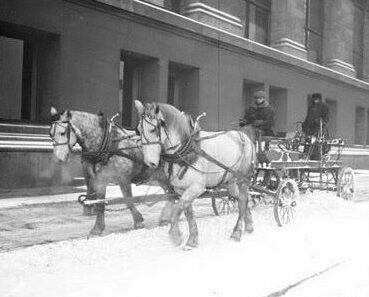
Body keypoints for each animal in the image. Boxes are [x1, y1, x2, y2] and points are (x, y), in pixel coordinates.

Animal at [48, 106, 172, 236]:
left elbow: (128, 201)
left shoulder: (123, 179)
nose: (58, 159)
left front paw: (138, 221)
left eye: (62, 132)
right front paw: (97, 228)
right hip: (160, 177)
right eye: (50, 134)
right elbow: (100, 203)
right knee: (169, 193)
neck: (107, 147)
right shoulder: (100, 180)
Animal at [135, 100, 256, 249]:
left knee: (243, 200)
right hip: (231, 181)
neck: (186, 150)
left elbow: (177, 208)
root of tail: (245, 137)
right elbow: (187, 212)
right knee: (241, 199)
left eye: (152, 129)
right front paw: (192, 240)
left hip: (242, 178)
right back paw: (249, 225)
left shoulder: (197, 187)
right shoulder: (181, 189)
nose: (150, 162)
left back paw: (237, 232)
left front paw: (176, 236)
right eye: (138, 130)